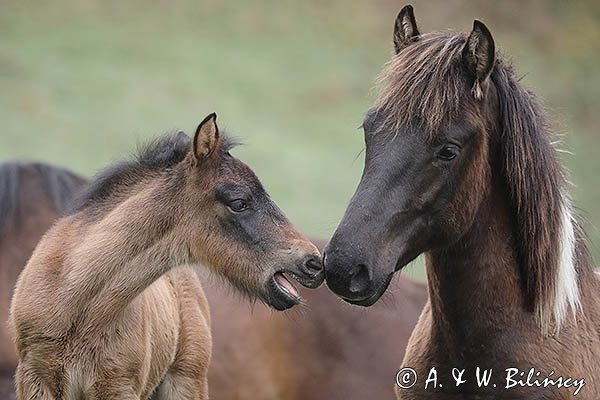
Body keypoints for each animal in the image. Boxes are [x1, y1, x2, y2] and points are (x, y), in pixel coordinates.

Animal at [9, 113, 324, 400]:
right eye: (239, 202)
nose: (314, 262)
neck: (76, 306)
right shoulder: (34, 381)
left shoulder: (118, 386)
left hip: (188, 381)